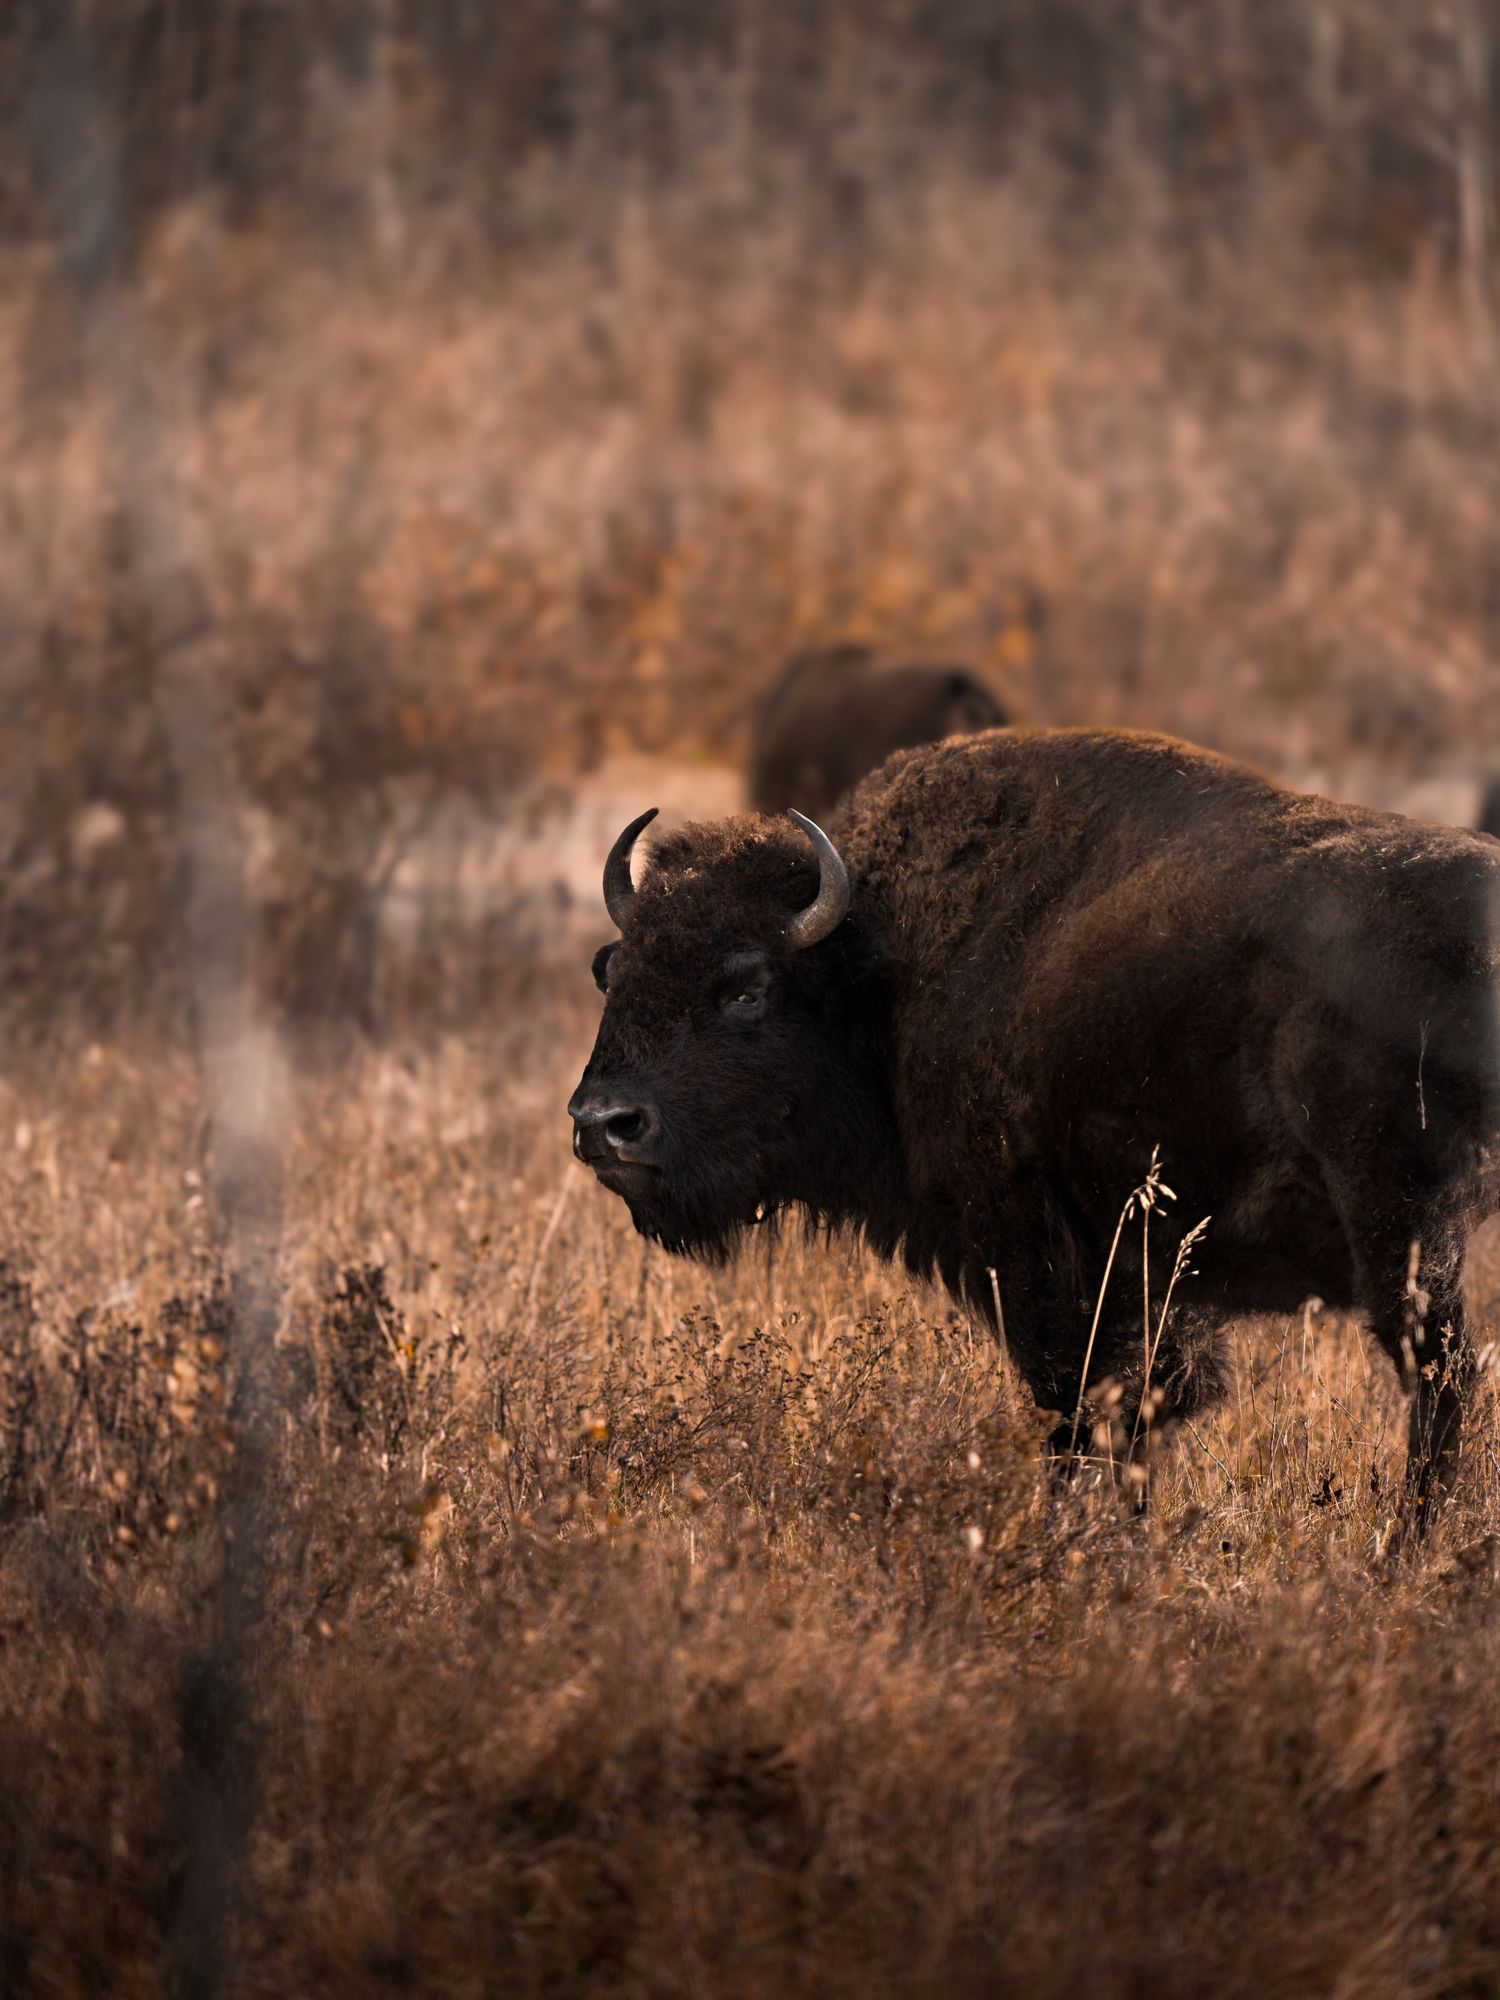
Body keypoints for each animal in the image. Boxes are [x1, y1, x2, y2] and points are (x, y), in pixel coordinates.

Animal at [570, 728, 1500, 1532]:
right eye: (611, 970)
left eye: (746, 986)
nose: (603, 1123)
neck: (887, 971)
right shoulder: (1143, 1277)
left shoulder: (1038, 1253)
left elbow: (1087, 1406)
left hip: (1399, 1218)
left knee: (1441, 1373)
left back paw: (1402, 1550)